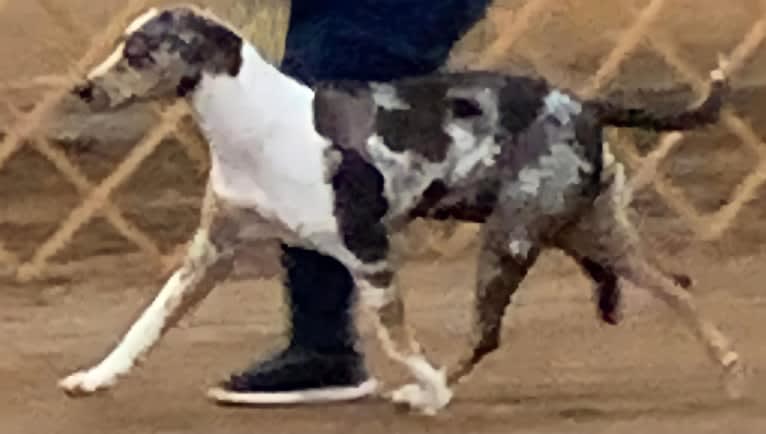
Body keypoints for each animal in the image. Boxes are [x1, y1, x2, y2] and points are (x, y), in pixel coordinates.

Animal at [58, 5, 744, 416]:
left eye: (141, 52)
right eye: (121, 45)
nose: (84, 89)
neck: (252, 131)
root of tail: (588, 105)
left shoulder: (371, 255)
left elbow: (396, 335)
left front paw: (428, 383)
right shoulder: (211, 252)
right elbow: (148, 321)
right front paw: (95, 377)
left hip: (509, 240)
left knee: (487, 333)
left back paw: (431, 395)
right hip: (594, 237)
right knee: (677, 289)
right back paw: (732, 370)